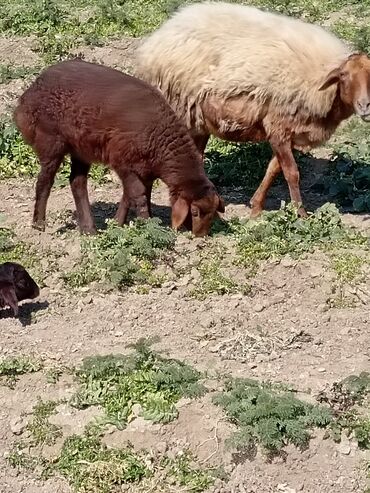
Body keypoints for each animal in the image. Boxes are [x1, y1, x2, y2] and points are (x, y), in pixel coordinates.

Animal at [13, 58, 224, 235]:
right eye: (194, 212)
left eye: (213, 213)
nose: (200, 236)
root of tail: (31, 90)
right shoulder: (123, 161)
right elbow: (138, 195)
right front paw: (148, 226)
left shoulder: (144, 169)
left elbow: (130, 196)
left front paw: (118, 223)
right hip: (49, 140)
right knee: (45, 181)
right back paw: (39, 224)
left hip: (81, 148)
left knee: (77, 182)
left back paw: (88, 229)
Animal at [135, 1, 370, 216]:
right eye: (343, 76)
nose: (365, 106)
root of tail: (158, 38)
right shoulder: (278, 128)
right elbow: (292, 173)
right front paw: (300, 214)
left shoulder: (287, 131)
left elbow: (273, 169)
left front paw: (256, 208)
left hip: (197, 120)